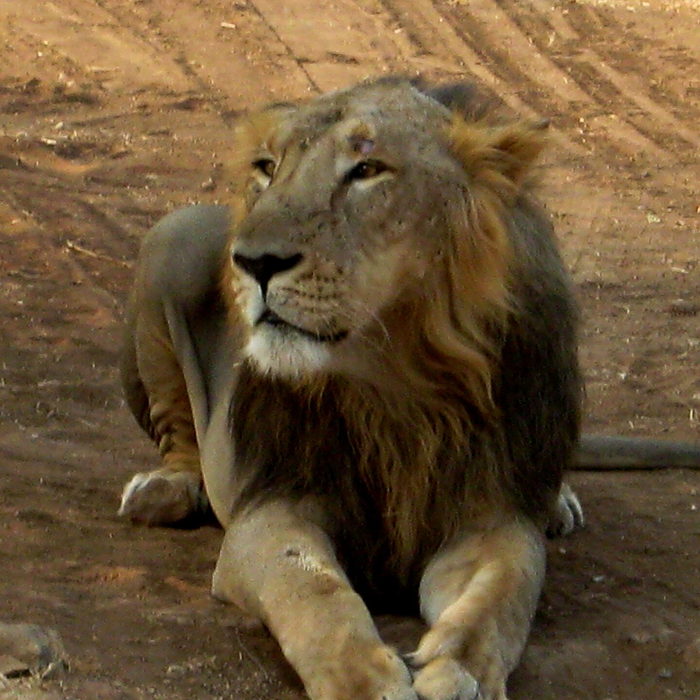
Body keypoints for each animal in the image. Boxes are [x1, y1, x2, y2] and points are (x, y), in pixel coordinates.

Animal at [117, 78, 699, 700]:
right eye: (267, 167)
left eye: (367, 169)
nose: (254, 262)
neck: (397, 379)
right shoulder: (271, 505)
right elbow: (311, 590)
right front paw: (363, 679)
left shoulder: (488, 522)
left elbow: (502, 600)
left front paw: (459, 670)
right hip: (169, 237)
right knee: (179, 432)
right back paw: (163, 490)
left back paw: (557, 501)